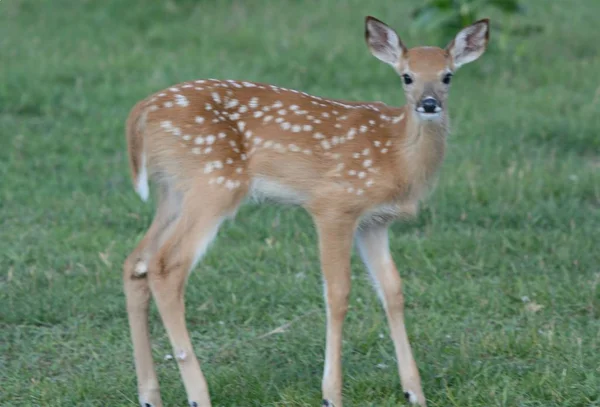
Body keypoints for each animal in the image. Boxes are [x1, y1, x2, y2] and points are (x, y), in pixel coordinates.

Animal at [122, 15, 488, 407]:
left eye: (447, 75)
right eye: (407, 76)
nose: (429, 103)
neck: (395, 156)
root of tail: (142, 111)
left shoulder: (375, 221)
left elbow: (392, 290)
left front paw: (414, 392)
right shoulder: (334, 204)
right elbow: (338, 293)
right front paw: (331, 394)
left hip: (174, 191)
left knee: (136, 262)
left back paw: (149, 395)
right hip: (214, 182)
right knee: (166, 265)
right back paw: (198, 395)